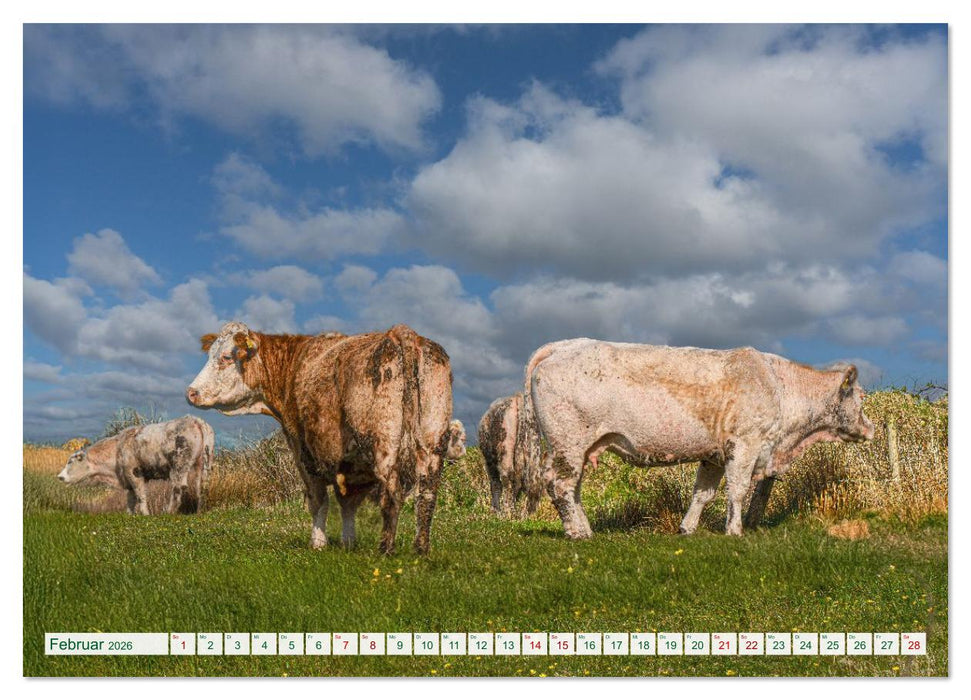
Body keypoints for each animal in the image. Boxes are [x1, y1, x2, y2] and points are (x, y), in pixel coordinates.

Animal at [57, 415, 214, 515]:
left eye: (70, 462)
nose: (60, 477)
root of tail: (195, 420)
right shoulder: (127, 478)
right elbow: (131, 498)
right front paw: (130, 514)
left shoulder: (134, 472)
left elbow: (140, 495)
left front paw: (145, 514)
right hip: (203, 464)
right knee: (201, 486)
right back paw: (198, 511)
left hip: (179, 465)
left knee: (178, 487)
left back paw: (168, 511)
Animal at [186, 322, 455, 555]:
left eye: (226, 357)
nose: (191, 392)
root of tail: (400, 333)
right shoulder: (349, 464)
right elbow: (347, 501)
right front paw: (348, 542)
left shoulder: (303, 450)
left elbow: (318, 500)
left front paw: (317, 543)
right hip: (432, 441)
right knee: (427, 495)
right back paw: (421, 550)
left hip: (383, 443)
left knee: (392, 493)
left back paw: (385, 551)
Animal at [526, 340, 874, 539]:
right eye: (861, 396)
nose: (870, 428)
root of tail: (564, 346)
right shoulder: (746, 444)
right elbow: (738, 490)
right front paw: (735, 531)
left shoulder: (715, 455)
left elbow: (703, 494)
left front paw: (687, 529)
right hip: (568, 442)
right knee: (560, 485)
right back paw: (576, 533)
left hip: (579, 447)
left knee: (573, 488)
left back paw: (585, 528)